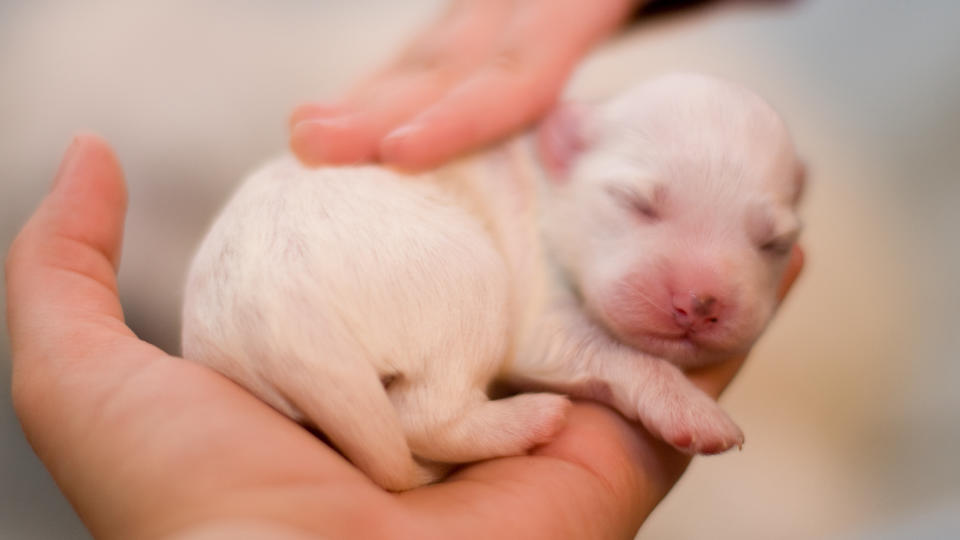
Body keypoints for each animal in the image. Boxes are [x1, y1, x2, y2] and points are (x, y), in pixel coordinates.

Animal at [180, 73, 804, 494]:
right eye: (637, 203)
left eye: (774, 244)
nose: (700, 303)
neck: (550, 185)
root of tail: (271, 305)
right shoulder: (539, 308)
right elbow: (619, 354)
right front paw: (691, 410)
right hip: (472, 286)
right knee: (427, 416)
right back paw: (529, 419)